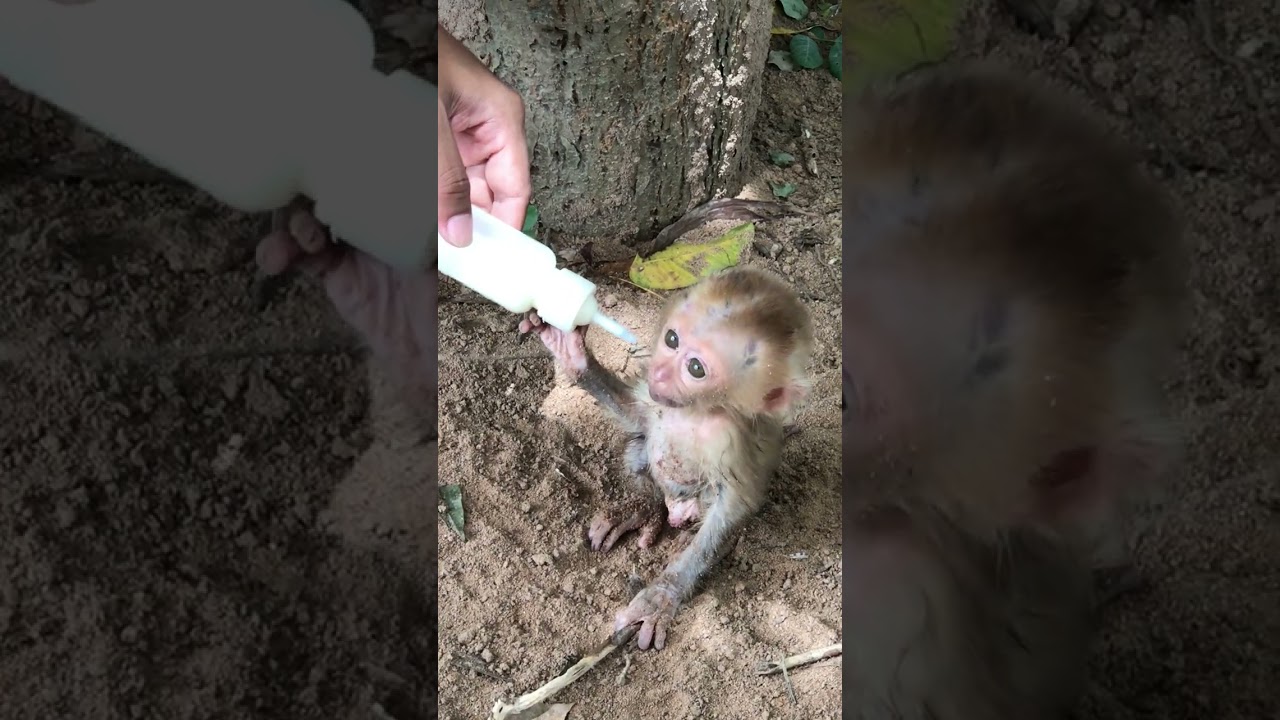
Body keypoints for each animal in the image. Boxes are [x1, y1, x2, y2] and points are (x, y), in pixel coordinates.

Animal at [519, 266, 814, 651]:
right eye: (672, 339)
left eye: (696, 368)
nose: (659, 373)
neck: (692, 412)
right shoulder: (654, 397)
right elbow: (638, 420)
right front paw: (571, 352)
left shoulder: (730, 439)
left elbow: (733, 504)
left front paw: (661, 595)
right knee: (640, 448)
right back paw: (642, 507)